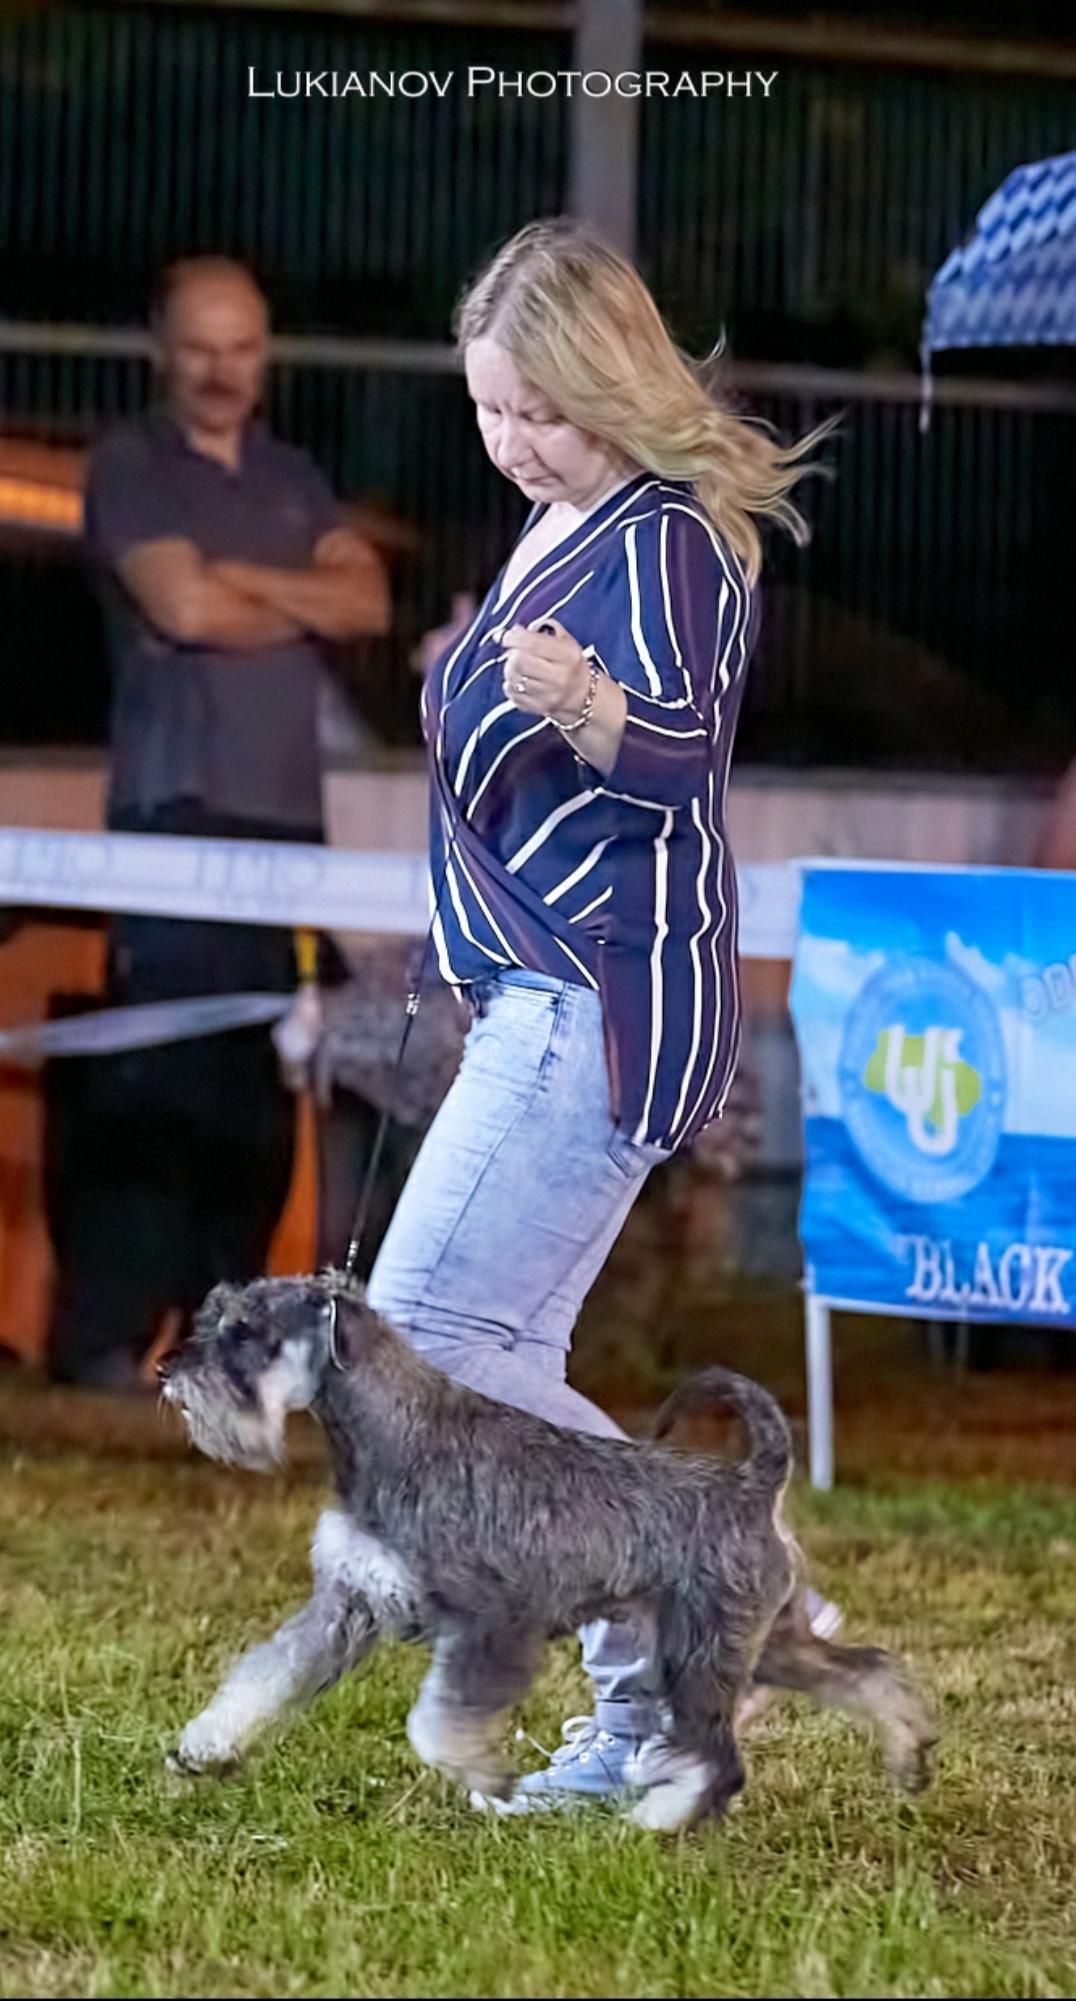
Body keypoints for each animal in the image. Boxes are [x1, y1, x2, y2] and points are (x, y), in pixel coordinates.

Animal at [160, 1273, 935, 1832]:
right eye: (217, 1315)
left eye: (247, 1331)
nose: (169, 1371)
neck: (395, 1433)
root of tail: (755, 1481)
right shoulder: (346, 1605)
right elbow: (263, 1676)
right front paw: (204, 1746)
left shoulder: (493, 1620)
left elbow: (435, 1721)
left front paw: (485, 1776)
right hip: (763, 1643)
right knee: (864, 1669)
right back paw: (910, 1755)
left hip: (697, 1653)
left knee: (722, 1760)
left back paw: (657, 1817)